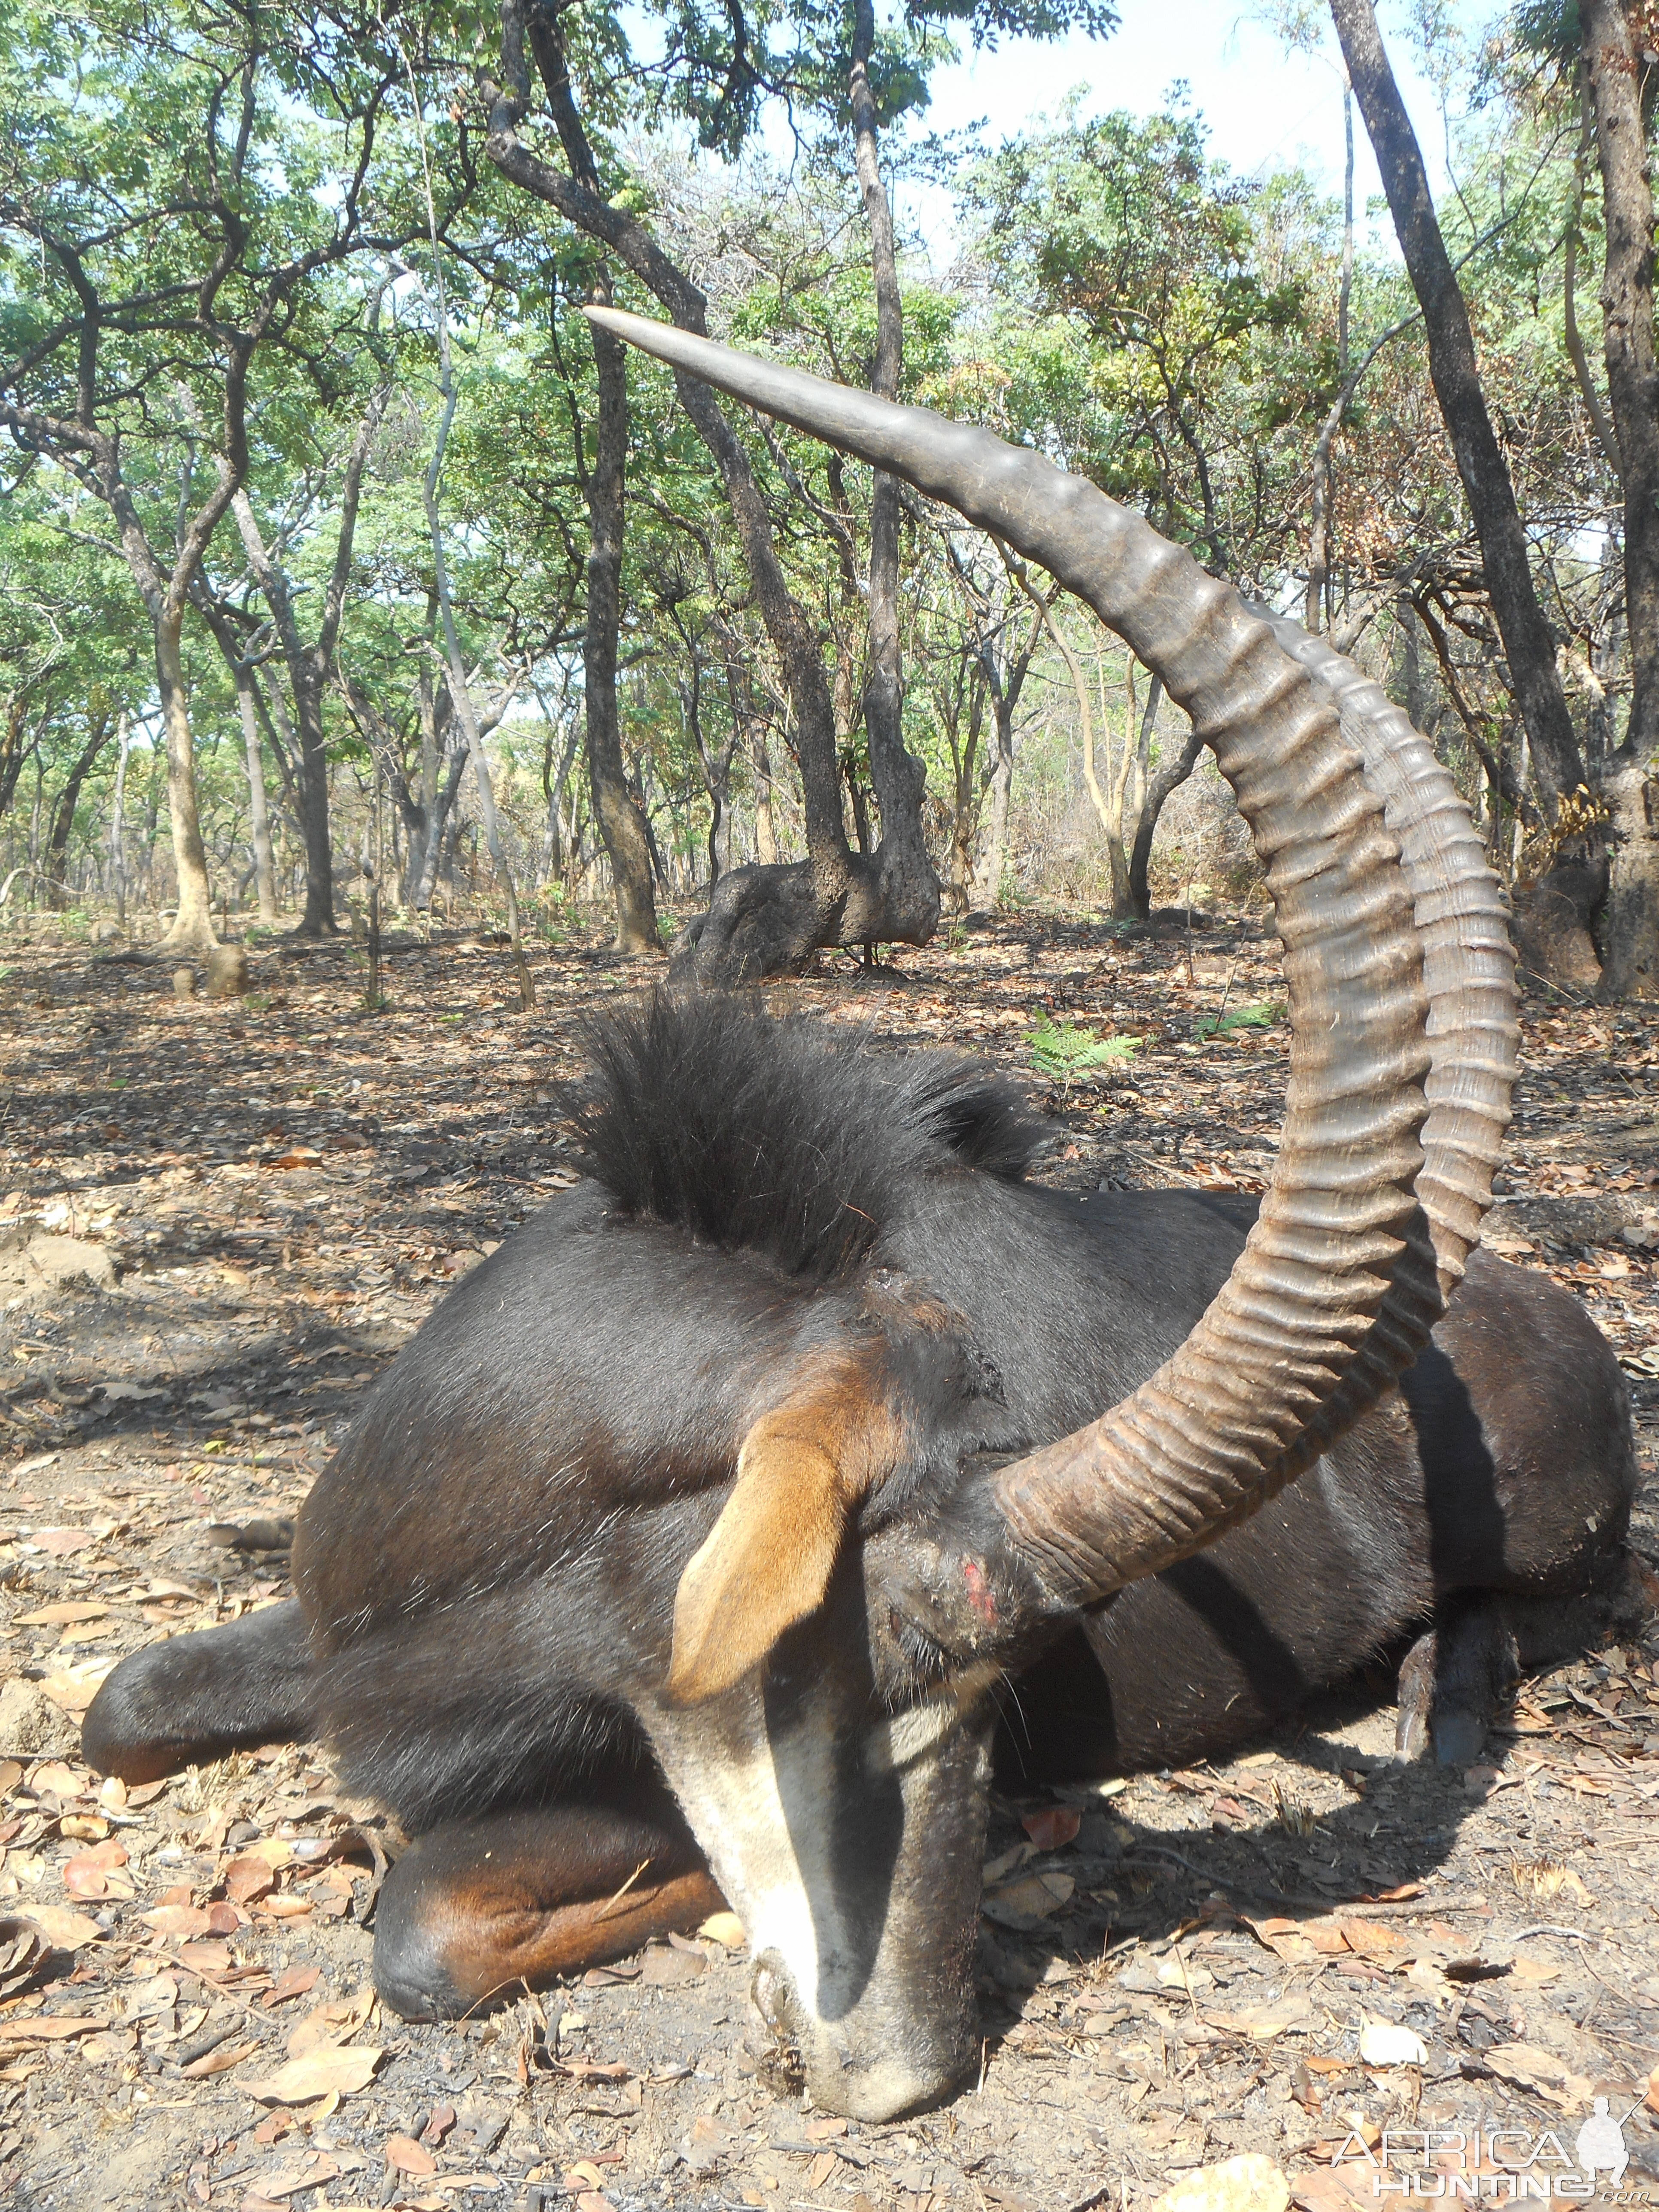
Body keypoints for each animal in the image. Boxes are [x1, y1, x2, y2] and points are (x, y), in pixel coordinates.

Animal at [85, 321, 1646, 2115]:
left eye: (999, 1695)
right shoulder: (353, 1642)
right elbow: (123, 1700)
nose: (897, 2073)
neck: (483, 1520)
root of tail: (1546, 1300)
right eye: (863, 1654)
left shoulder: (604, 1750)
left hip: (1549, 1534)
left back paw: (1428, 1697)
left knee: (1556, 1604)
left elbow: (423, 1918)